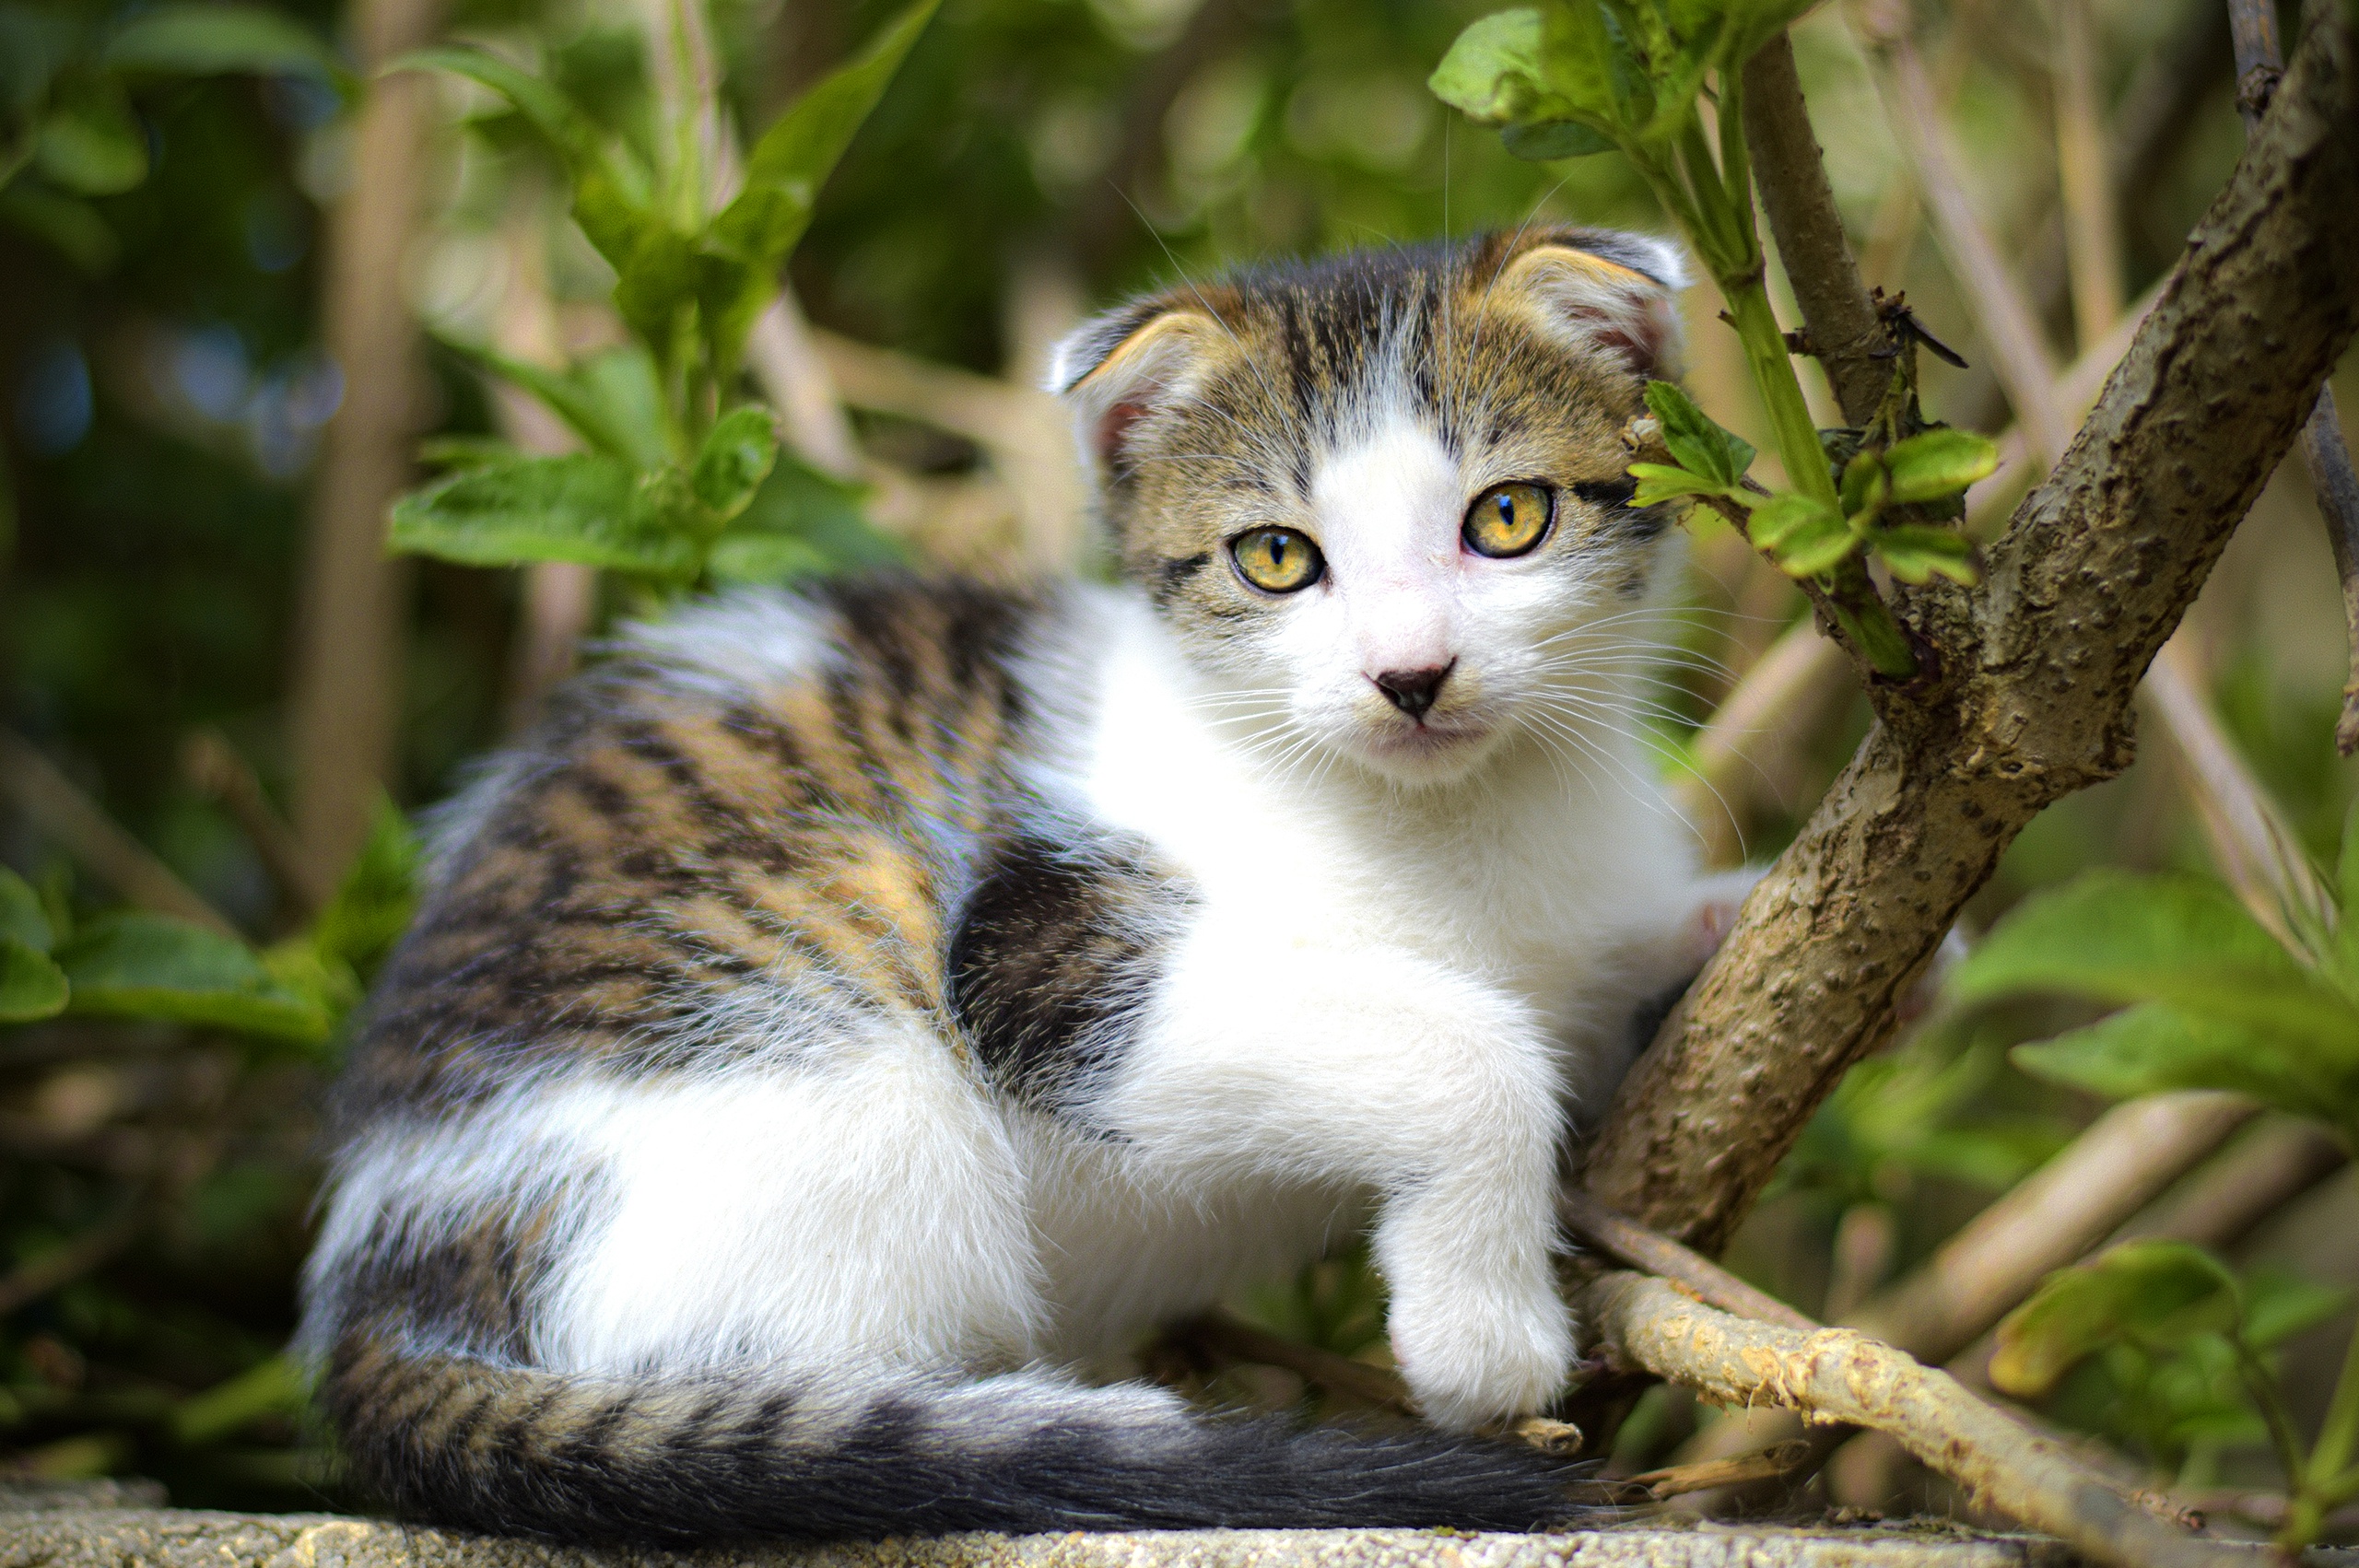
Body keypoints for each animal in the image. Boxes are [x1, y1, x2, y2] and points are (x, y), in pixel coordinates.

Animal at [295, 222, 1736, 1537]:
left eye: (1508, 517)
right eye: (1277, 557)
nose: (1411, 674)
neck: (1456, 825)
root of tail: (381, 1283)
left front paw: (1717, 917)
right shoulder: (1038, 949)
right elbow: (1466, 1048)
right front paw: (1481, 1338)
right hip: (832, 1077)